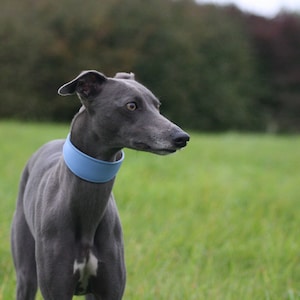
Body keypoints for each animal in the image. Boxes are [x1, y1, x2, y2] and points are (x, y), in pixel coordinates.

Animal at [11, 69, 190, 298]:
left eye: (157, 106)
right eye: (131, 105)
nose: (182, 138)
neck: (87, 213)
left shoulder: (110, 288)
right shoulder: (56, 289)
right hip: (26, 272)